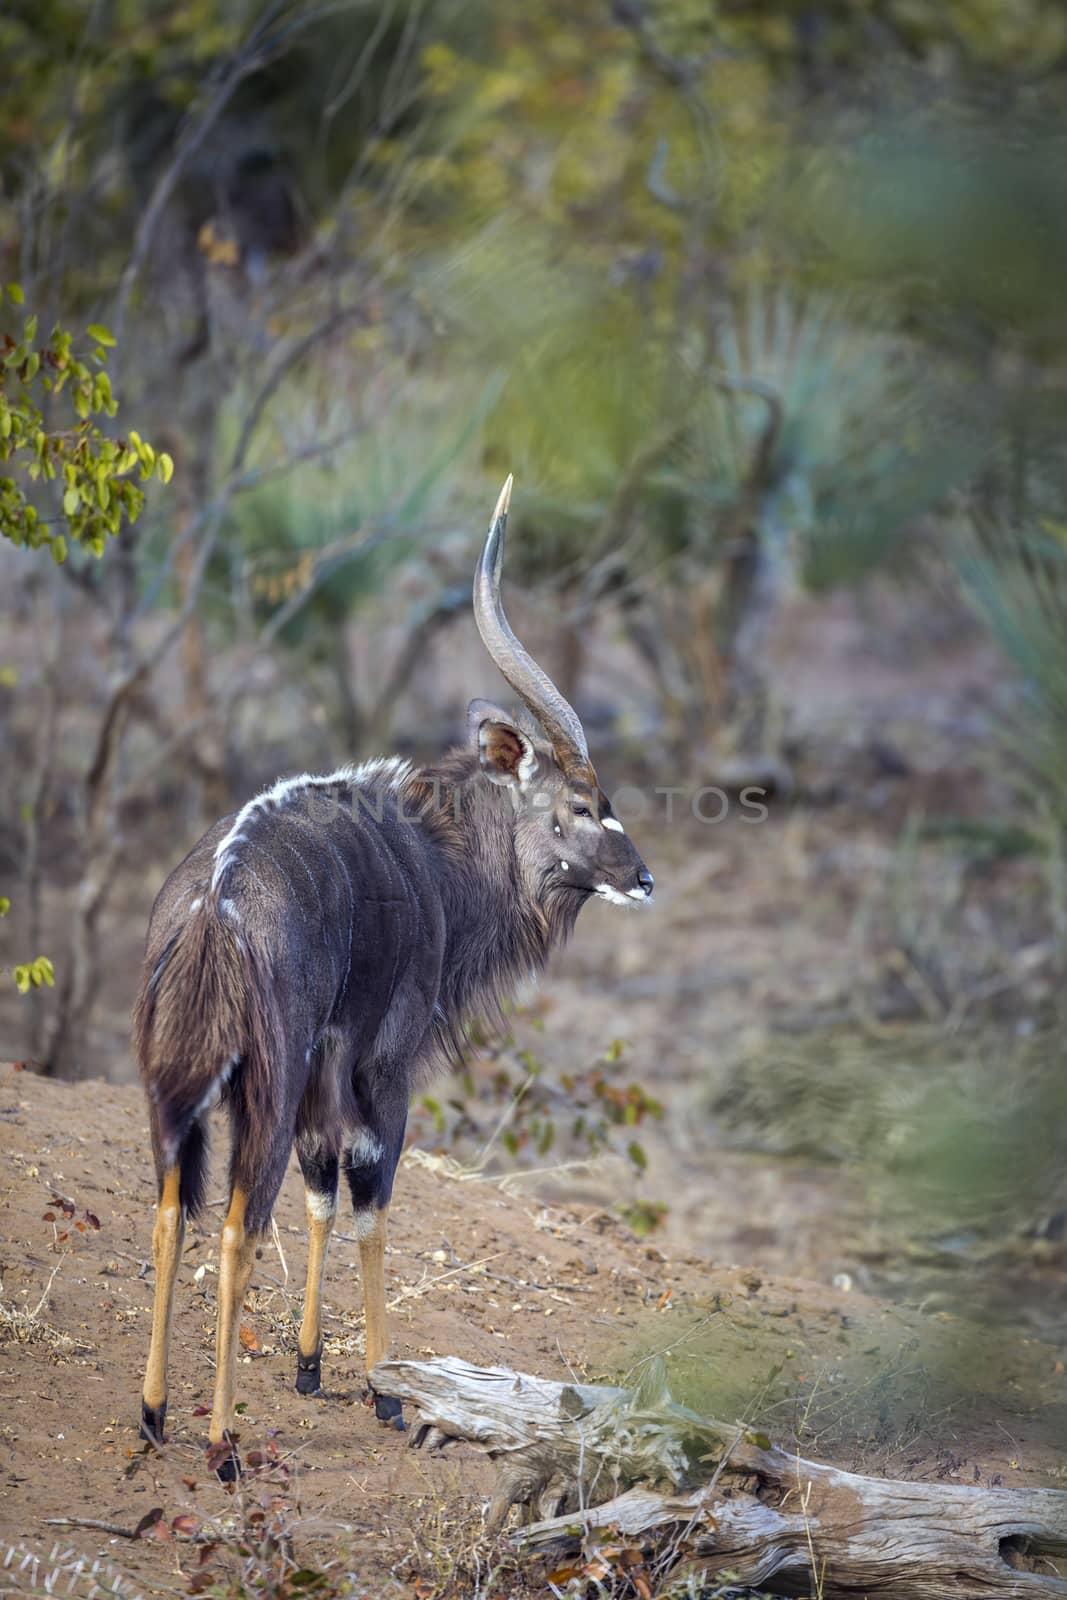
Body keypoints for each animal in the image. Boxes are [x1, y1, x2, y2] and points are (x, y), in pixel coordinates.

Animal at [133, 473, 652, 1465]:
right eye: (581, 803)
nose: (643, 878)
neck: (434, 856)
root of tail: (213, 907)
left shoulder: (321, 1082)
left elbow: (322, 1191)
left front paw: (309, 1366)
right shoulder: (381, 1065)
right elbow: (370, 1197)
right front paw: (386, 1388)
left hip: (183, 1091)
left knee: (173, 1208)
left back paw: (151, 1413)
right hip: (263, 1084)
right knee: (235, 1223)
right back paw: (220, 1440)